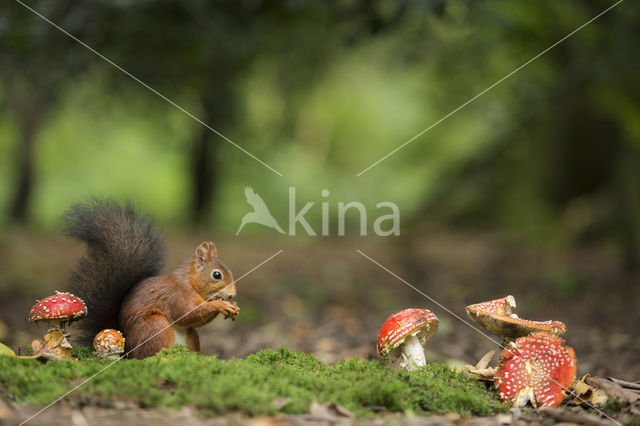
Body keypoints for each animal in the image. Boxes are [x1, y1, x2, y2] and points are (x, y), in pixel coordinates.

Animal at [62, 200, 239, 360]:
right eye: (217, 275)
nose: (232, 295)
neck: (191, 283)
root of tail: (128, 351)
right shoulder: (178, 295)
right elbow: (187, 314)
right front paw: (221, 305)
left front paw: (232, 306)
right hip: (155, 327)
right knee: (149, 354)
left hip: (190, 336)